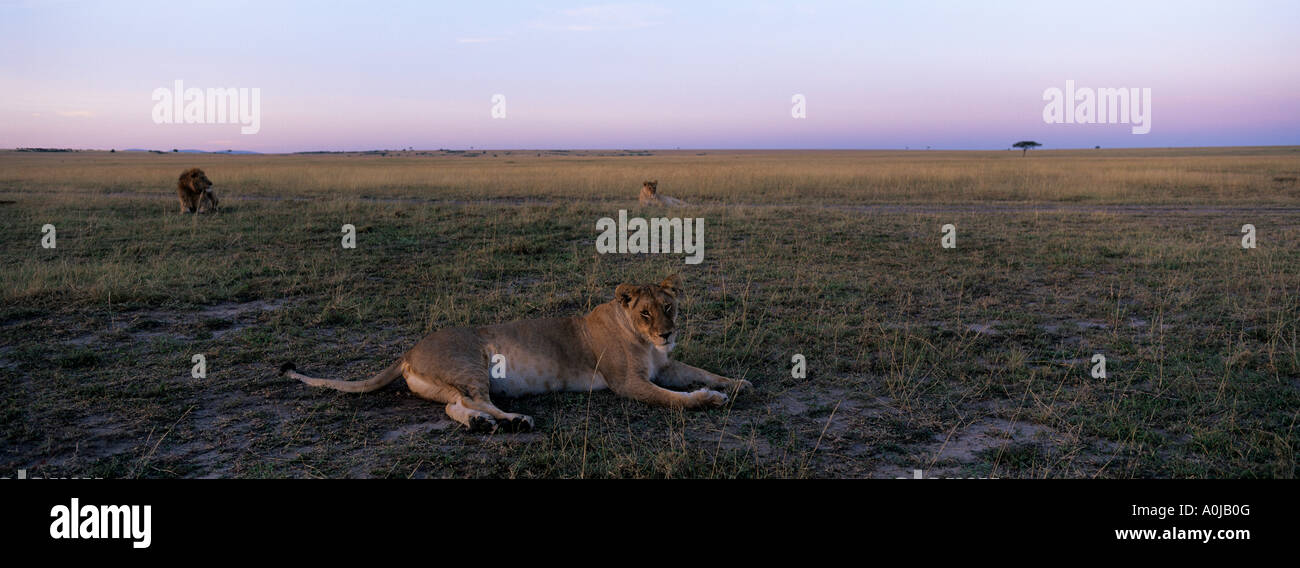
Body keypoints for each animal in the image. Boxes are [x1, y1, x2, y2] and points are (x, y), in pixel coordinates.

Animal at [279, 274, 750, 432]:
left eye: (669, 308)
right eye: (646, 313)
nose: (667, 333)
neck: (644, 342)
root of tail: (408, 349)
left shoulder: (666, 365)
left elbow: (701, 369)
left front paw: (737, 382)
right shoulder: (628, 383)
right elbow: (677, 399)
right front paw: (710, 399)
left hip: (446, 384)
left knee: (455, 406)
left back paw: (481, 426)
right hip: (471, 362)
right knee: (477, 400)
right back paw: (514, 421)